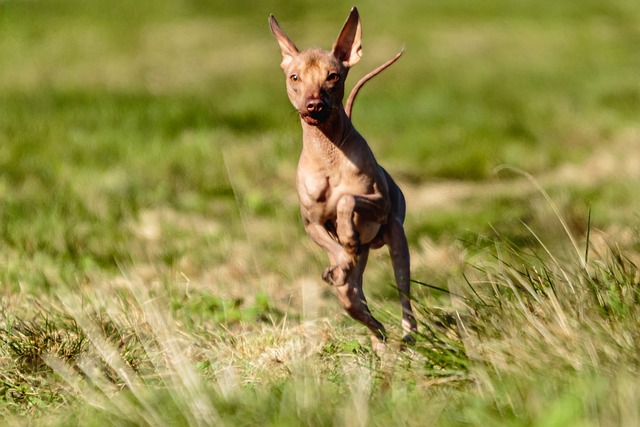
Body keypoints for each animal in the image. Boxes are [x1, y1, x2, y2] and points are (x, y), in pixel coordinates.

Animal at [268, 6, 418, 348]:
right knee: (353, 300)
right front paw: (340, 261)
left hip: (397, 238)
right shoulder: (311, 223)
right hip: (356, 278)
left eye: (333, 76)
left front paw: (347, 234)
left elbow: (347, 199)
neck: (328, 154)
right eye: (294, 77)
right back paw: (376, 333)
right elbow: (334, 246)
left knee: (404, 293)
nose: (313, 105)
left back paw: (407, 334)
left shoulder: (379, 203)